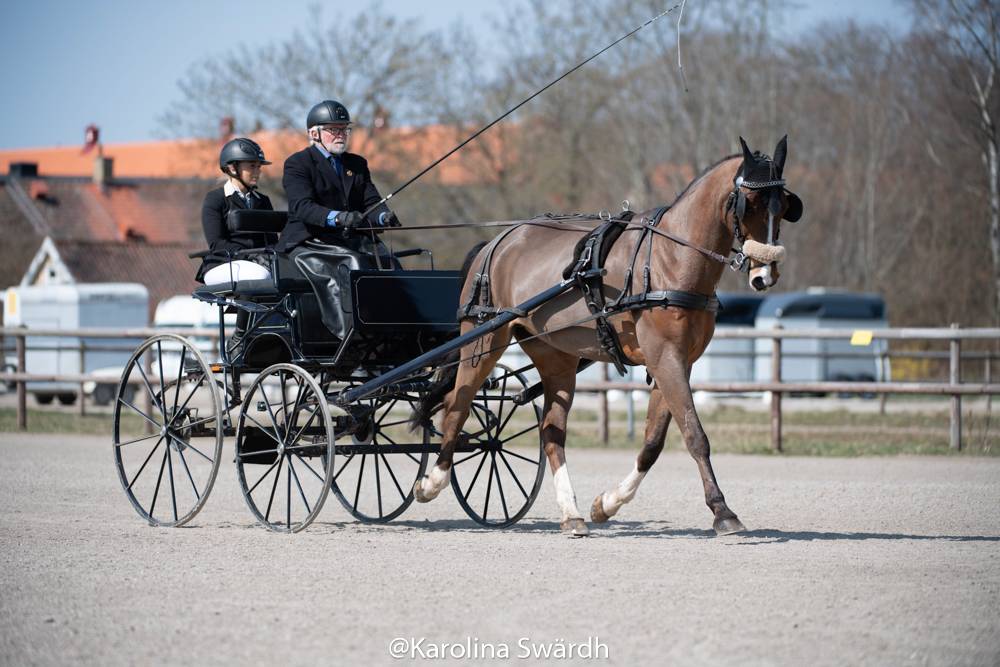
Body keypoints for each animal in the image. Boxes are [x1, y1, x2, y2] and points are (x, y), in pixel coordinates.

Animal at [414, 137, 804, 536]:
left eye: (784, 205)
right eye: (749, 203)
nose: (764, 275)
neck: (669, 259)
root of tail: (497, 242)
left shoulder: (676, 362)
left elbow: (653, 441)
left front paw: (608, 503)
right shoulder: (665, 357)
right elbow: (695, 435)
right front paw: (722, 510)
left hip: (555, 356)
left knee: (551, 431)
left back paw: (571, 513)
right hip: (482, 341)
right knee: (457, 406)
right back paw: (431, 482)